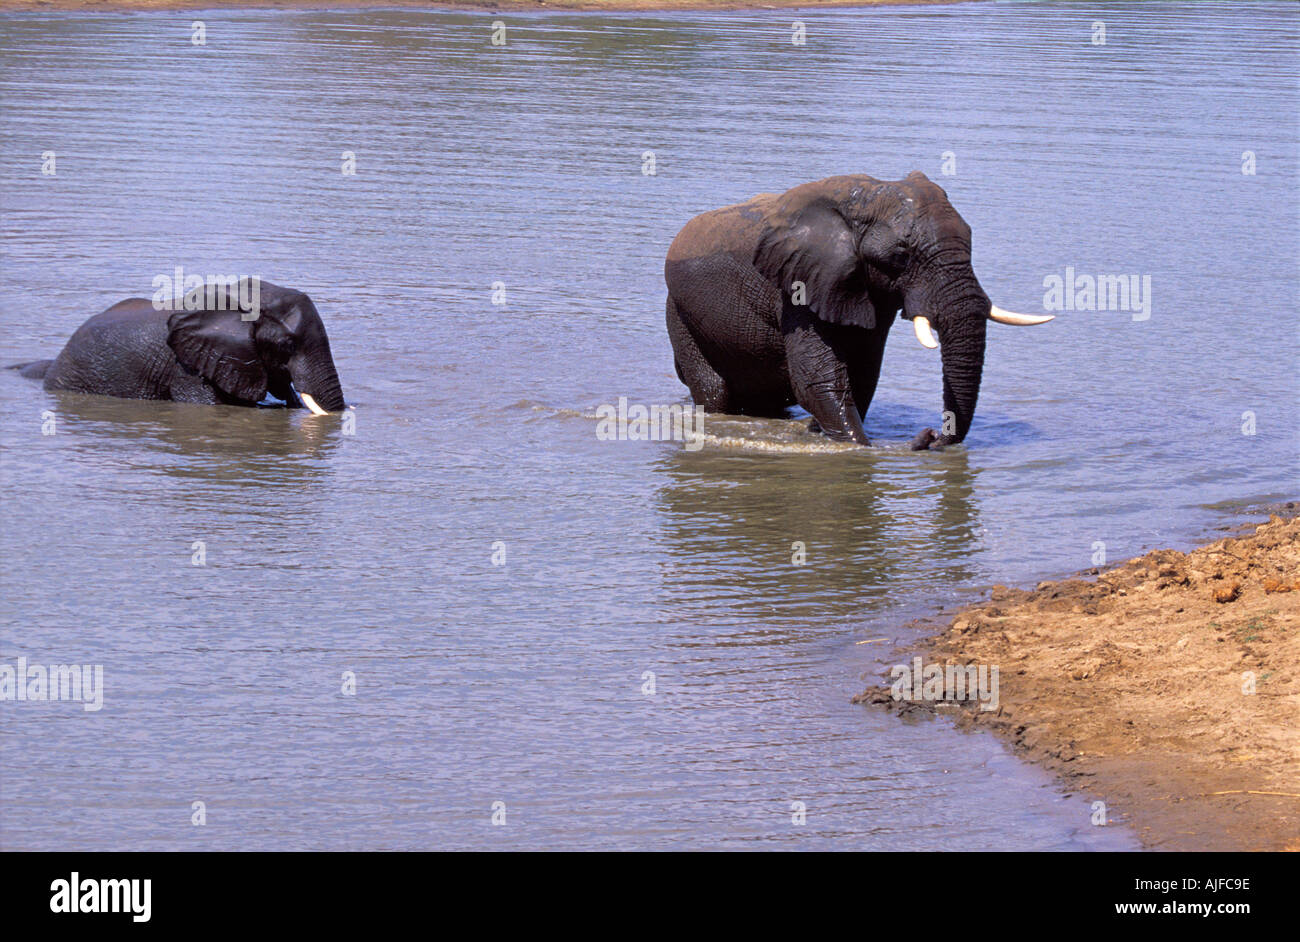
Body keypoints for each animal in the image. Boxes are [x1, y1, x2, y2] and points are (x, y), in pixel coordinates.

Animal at [664, 172, 1051, 449]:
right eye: (901, 255)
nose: (930, 435)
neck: (868, 198)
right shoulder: (797, 287)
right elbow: (816, 380)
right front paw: (857, 447)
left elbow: (863, 374)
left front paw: (820, 432)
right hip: (679, 314)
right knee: (714, 392)